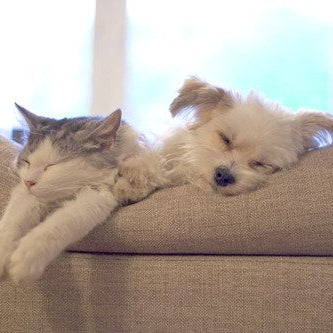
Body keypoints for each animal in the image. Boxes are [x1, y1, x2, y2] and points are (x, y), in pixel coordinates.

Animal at [0, 104, 166, 282]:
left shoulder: (98, 194)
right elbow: (11, 221)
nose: (29, 182)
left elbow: (61, 222)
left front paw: (26, 257)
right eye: (27, 162)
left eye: (53, 165)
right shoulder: (24, 194)